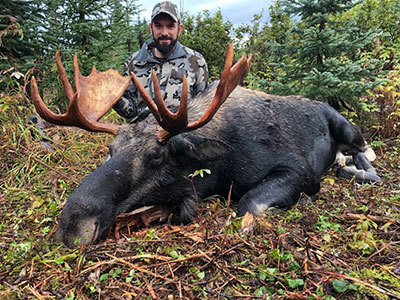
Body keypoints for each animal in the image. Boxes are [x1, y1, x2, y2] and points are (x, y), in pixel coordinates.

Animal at [29, 44, 380, 246]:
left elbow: (248, 203)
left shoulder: (300, 171)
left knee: (364, 149)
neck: (222, 168)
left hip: (345, 125)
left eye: (155, 156)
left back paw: (362, 169)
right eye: (111, 150)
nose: (72, 226)